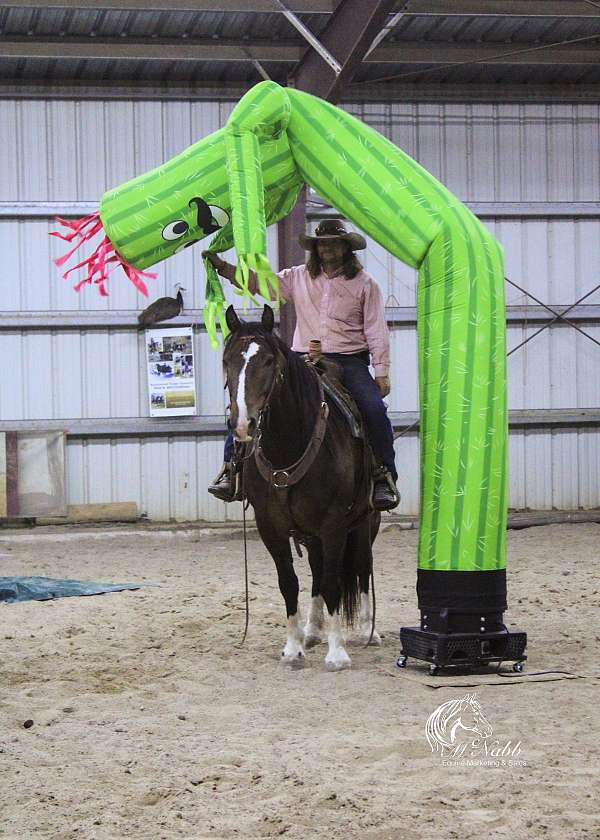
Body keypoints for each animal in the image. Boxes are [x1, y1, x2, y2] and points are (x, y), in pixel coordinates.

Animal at [223, 302, 382, 668]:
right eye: (227, 360)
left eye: (269, 361)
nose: (243, 425)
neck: (289, 446)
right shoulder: (270, 527)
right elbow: (290, 583)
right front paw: (293, 647)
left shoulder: (335, 525)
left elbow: (335, 582)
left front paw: (337, 653)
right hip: (310, 535)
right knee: (316, 572)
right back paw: (311, 631)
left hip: (367, 522)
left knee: (361, 567)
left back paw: (367, 630)